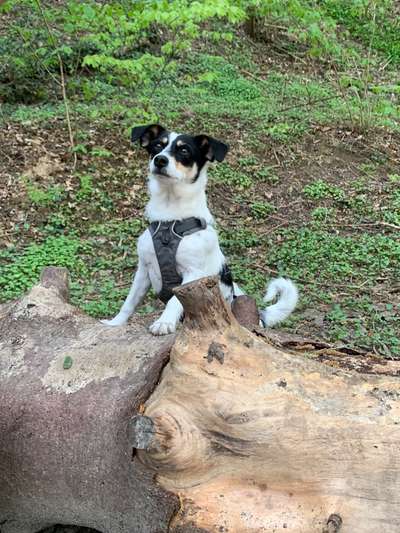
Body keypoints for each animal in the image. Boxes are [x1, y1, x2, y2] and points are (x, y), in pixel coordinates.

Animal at [101, 122, 298, 334]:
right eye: (157, 146)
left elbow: (174, 300)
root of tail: (260, 318)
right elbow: (129, 301)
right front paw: (115, 322)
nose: (160, 160)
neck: (170, 219)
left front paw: (164, 322)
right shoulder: (143, 270)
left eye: (184, 150)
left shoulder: (193, 273)